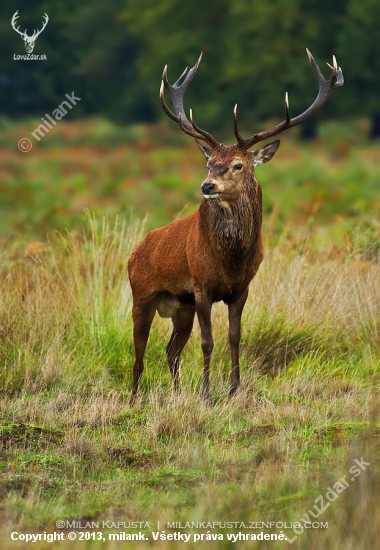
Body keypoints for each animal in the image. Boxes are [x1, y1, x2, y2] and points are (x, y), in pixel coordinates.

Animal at [128, 49, 344, 406]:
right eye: (208, 163)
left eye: (238, 165)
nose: (207, 185)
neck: (230, 260)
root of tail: (134, 252)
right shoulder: (201, 286)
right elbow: (208, 341)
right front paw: (205, 394)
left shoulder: (242, 288)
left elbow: (234, 336)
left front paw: (233, 389)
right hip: (141, 294)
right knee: (139, 352)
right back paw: (133, 400)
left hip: (180, 306)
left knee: (171, 351)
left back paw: (177, 393)